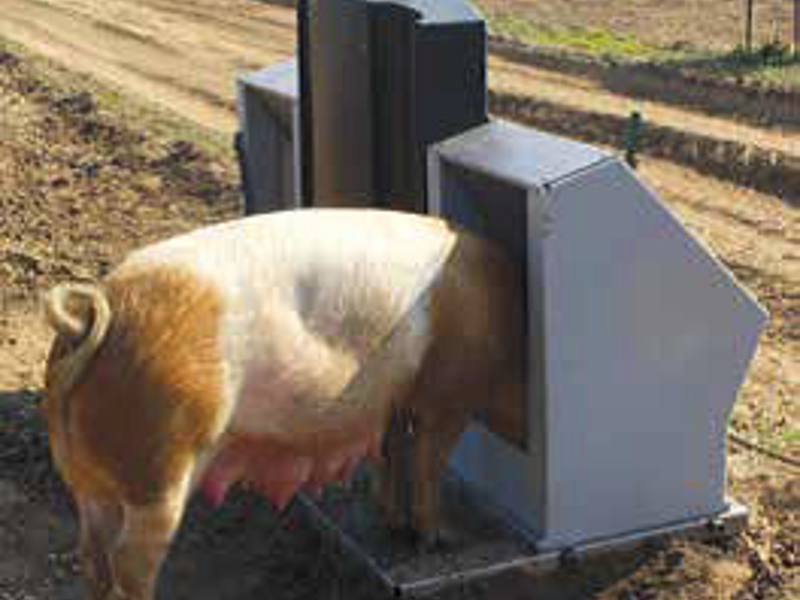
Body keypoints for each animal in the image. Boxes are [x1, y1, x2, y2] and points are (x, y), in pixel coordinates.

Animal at [42, 208, 526, 600]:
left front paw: (393, 523)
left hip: (86, 478)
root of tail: (95, 317)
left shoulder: (395, 400)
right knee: (129, 561)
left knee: (93, 554)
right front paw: (444, 540)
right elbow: (429, 461)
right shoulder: (450, 393)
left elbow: (393, 452)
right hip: (161, 468)